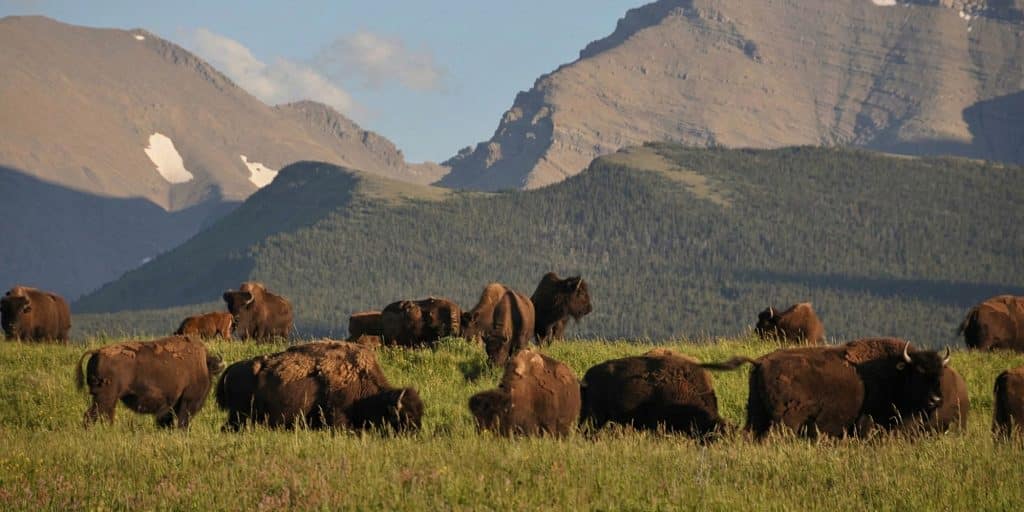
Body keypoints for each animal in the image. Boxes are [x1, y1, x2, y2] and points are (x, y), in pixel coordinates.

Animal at [75, 335, 224, 428]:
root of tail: (97, 351)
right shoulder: (187, 401)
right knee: (93, 415)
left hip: (105, 398)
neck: (203, 364)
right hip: (105, 398)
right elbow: (183, 421)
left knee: (104, 415)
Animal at [704, 338, 951, 439]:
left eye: (940, 374)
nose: (936, 400)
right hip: (784, 421)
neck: (896, 372)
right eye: (918, 372)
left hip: (756, 415)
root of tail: (760, 362)